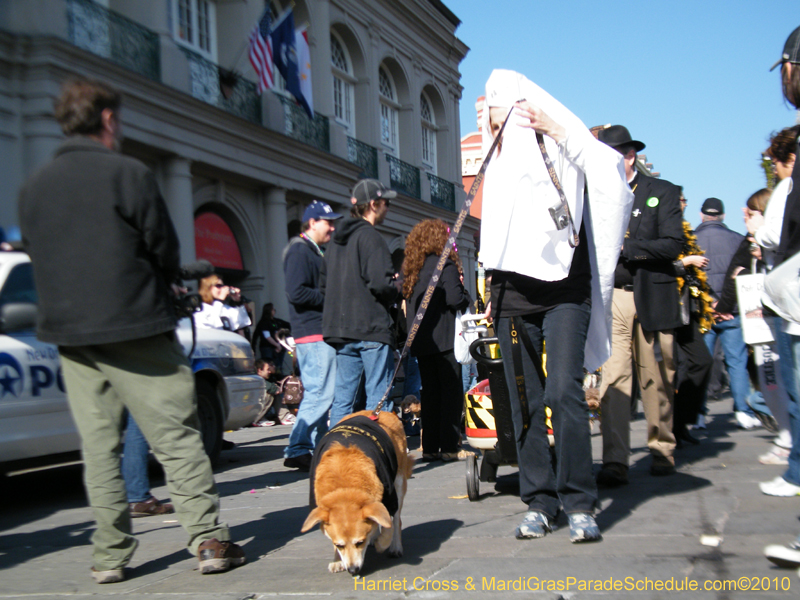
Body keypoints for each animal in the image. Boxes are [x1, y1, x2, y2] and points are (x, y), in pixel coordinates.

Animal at [298, 410, 412, 576]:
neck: (344, 486)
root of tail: (383, 412)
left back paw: (395, 546)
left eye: (360, 542)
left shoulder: (389, 498)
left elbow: (388, 525)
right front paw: (337, 560)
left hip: (399, 481)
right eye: (340, 545)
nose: (352, 570)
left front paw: (382, 543)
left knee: (396, 520)